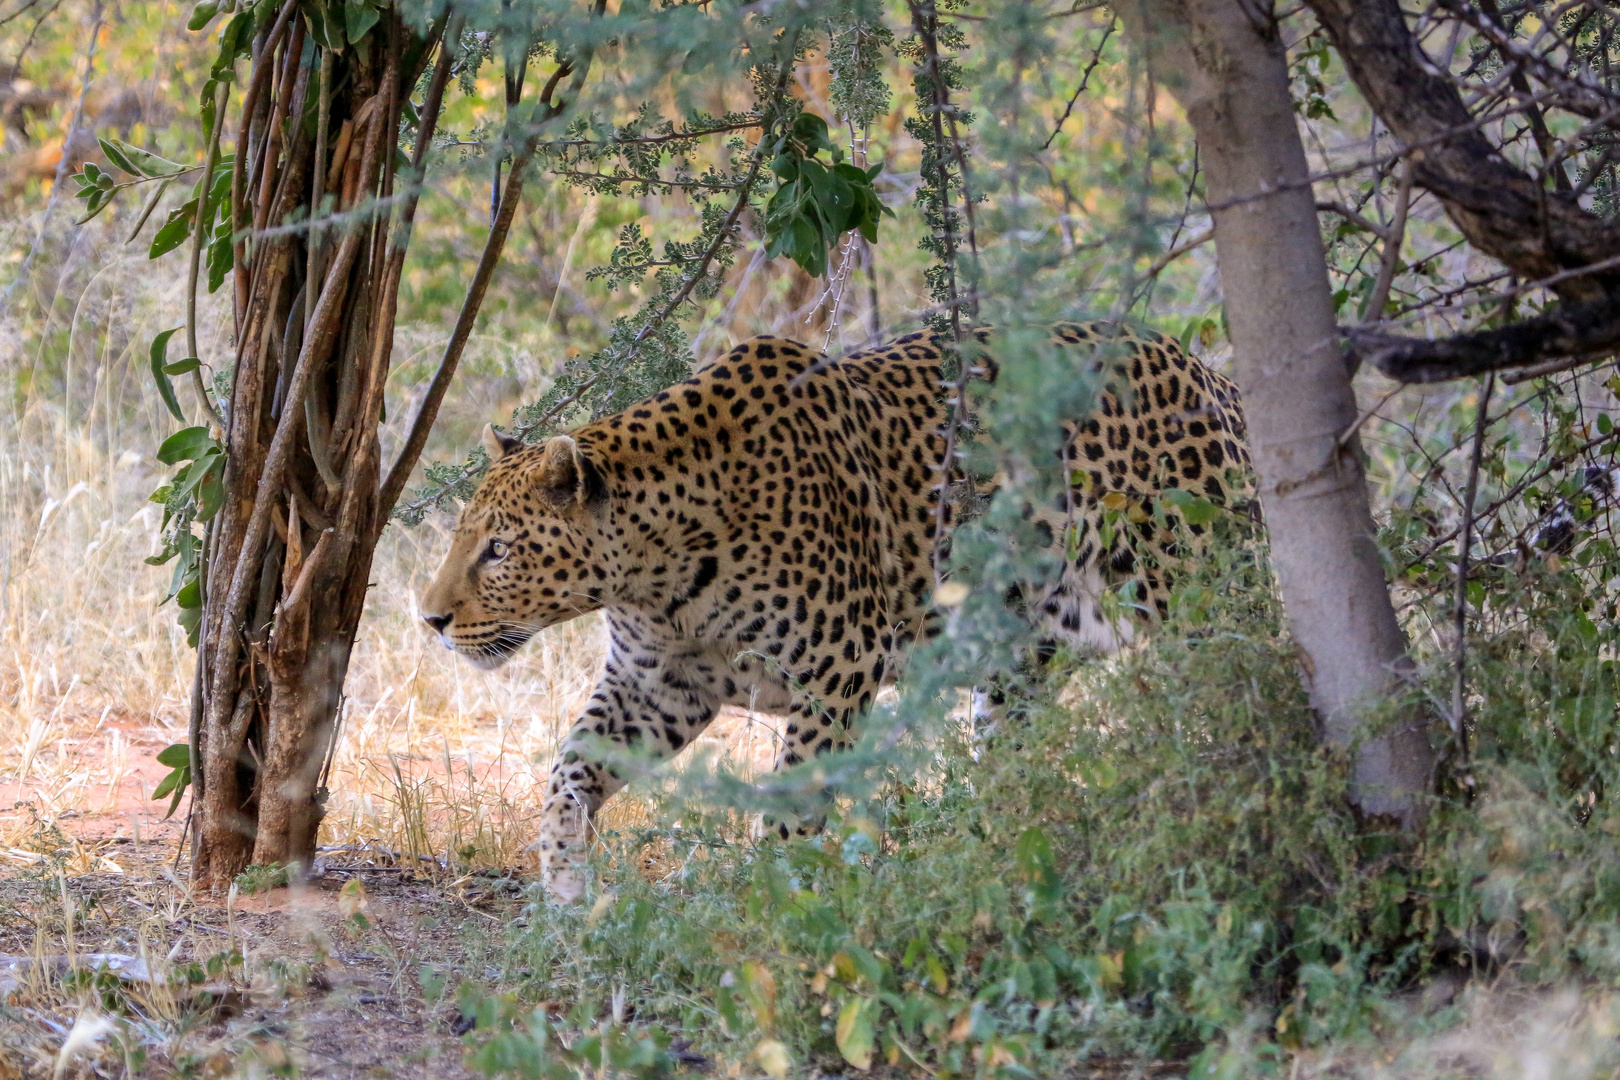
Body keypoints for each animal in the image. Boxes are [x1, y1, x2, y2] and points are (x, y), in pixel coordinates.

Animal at [421, 323, 1250, 906]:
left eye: (498, 549)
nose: (428, 620)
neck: (657, 570)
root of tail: (1212, 374)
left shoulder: (836, 673)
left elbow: (790, 814)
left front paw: (774, 913)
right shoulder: (656, 682)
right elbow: (568, 771)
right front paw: (565, 888)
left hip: (1196, 598)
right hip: (1024, 660)